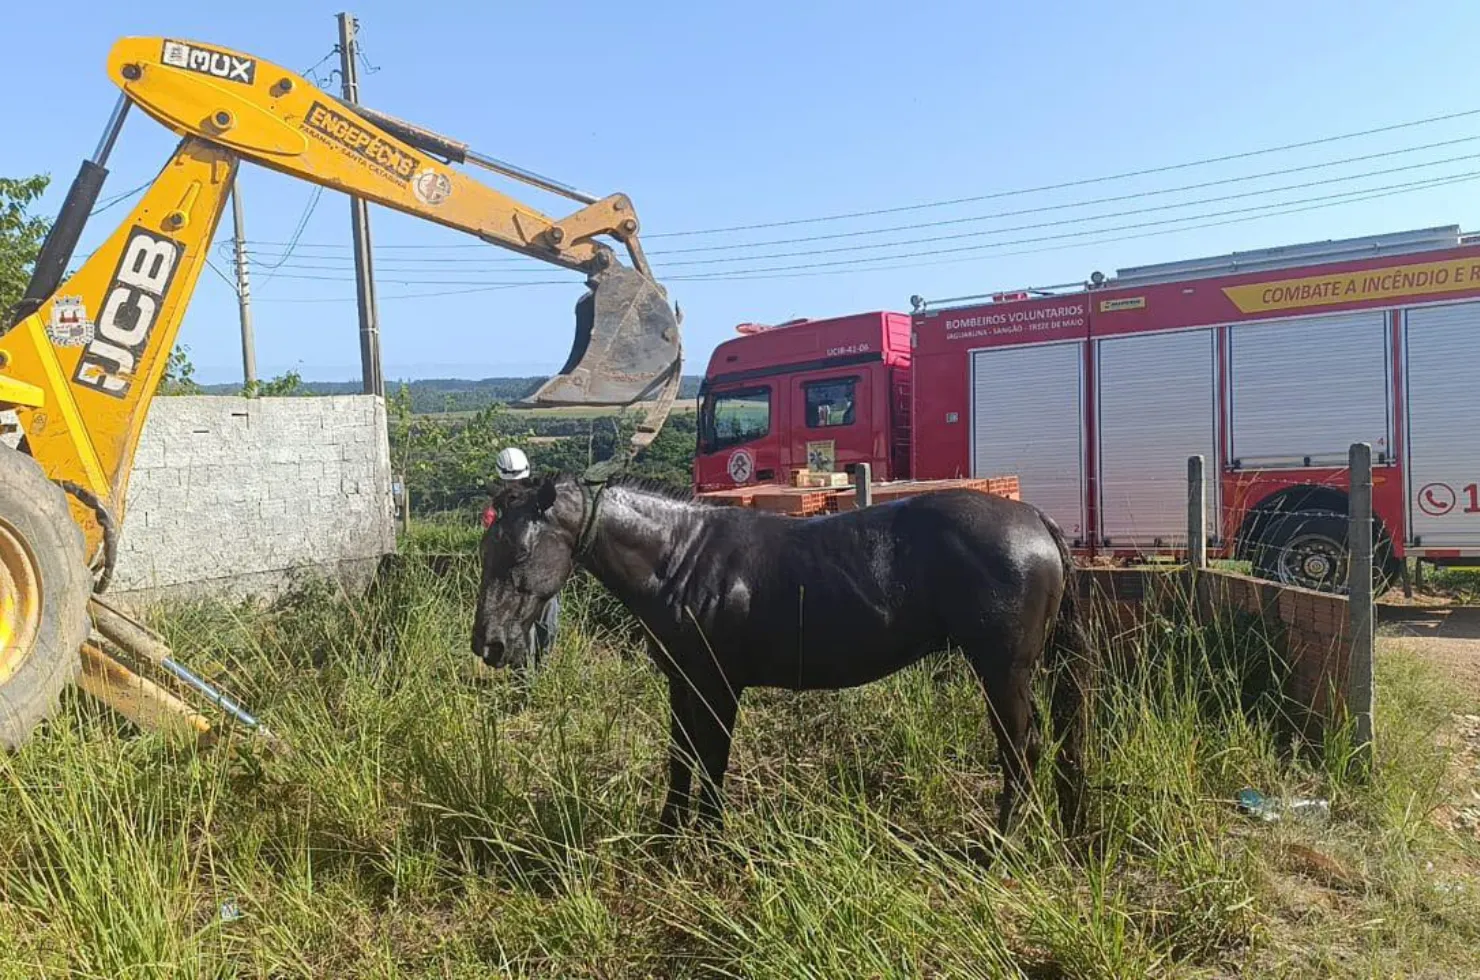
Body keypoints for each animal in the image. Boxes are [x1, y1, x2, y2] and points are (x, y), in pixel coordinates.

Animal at [473, 473, 1101, 840]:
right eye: (486, 549)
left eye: (521, 550)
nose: (488, 644)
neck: (678, 557)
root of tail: (1035, 521)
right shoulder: (683, 682)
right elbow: (681, 760)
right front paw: (667, 839)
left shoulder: (719, 685)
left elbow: (712, 760)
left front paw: (709, 839)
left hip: (1002, 670)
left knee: (1021, 749)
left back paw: (999, 847)